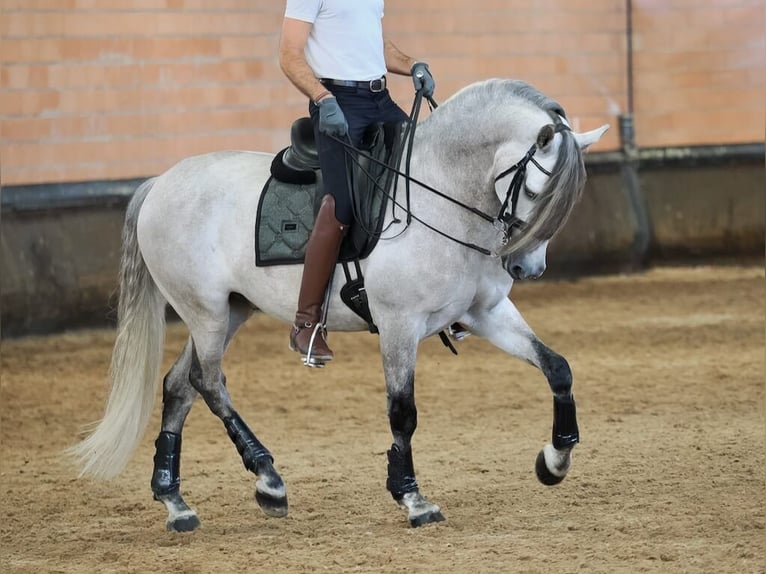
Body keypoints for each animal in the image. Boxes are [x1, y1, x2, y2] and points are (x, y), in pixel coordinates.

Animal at [69, 79, 609, 530]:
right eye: (536, 190)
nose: (526, 268)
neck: (442, 195)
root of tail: (159, 182)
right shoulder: (398, 324)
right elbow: (402, 412)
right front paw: (413, 499)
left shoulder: (485, 312)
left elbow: (557, 367)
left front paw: (555, 461)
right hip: (206, 312)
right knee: (208, 382)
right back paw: (269, 481)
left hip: (231, 310)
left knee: (180, 386)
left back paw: (176, 503)